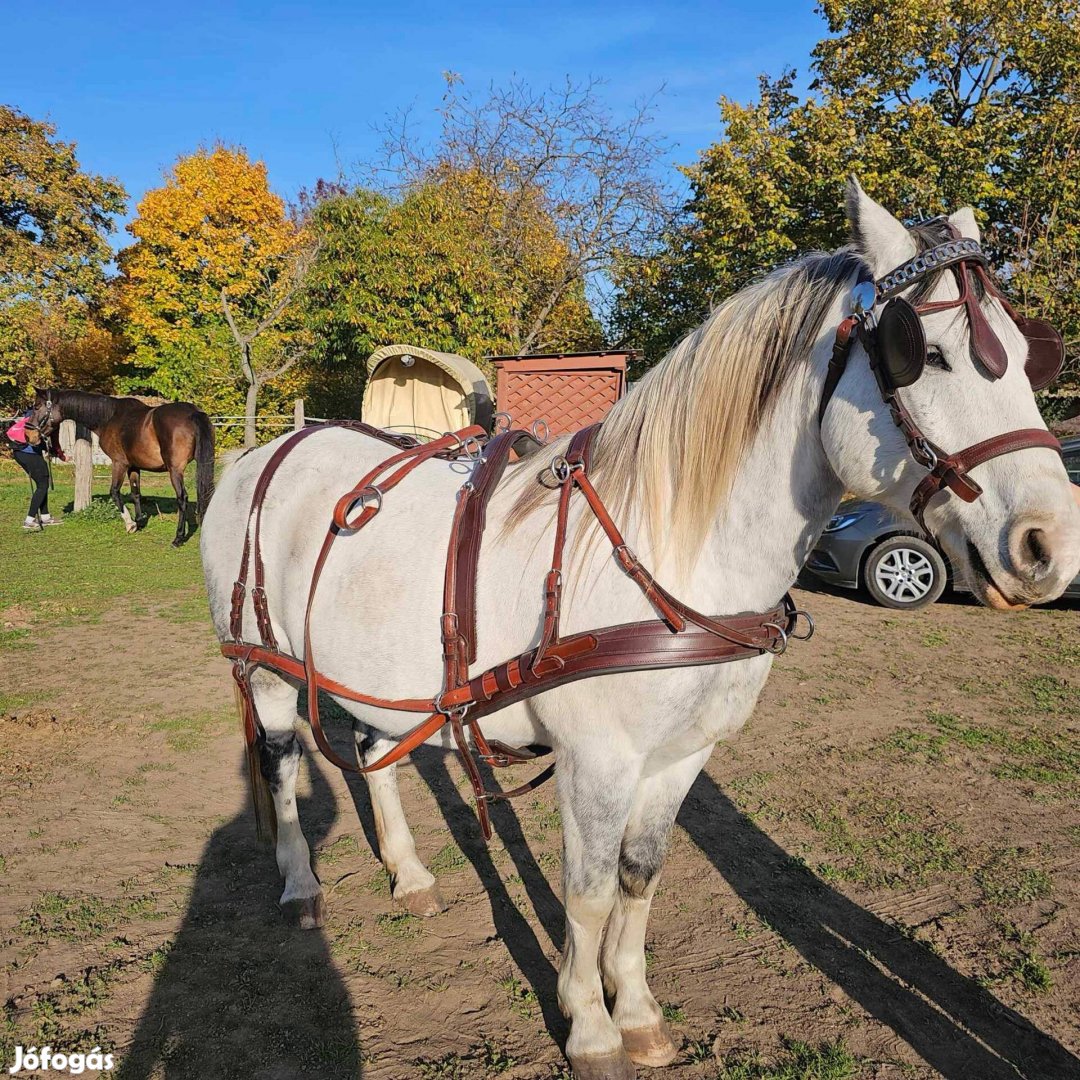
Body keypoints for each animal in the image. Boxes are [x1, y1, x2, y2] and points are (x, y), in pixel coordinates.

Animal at [32, 388, 214, 544]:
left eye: (37, 407)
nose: (31, 434)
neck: (110, 417)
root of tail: (193, 413)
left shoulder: (119, 463)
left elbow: (114, 491)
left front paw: (130, 524)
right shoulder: (133, 466)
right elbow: (136, 493)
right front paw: (139, 521)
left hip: (175, 470)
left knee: (182, 498)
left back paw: (178, 538)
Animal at [203, 181, 1080, 1075]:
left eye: (1028, 354)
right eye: (926, 354)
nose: (1049, 543)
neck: (667, 552)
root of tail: (266, 451)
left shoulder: (683, 754)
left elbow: (639, 878)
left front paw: (638, 1012)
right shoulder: (599, 760)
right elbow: (588, 896)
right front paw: (590, 1027)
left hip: (375, 673)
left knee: (374, 749)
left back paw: (410, 875)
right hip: (266, 668)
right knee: (280, 762)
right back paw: (301, 885)